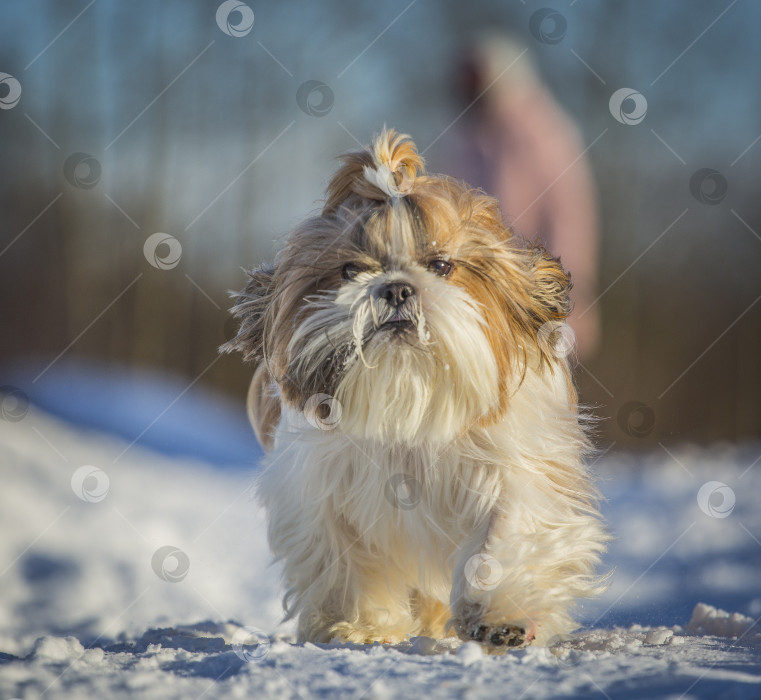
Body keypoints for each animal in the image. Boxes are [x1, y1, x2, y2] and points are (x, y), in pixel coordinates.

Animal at [221, 129, 604, 648]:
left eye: (441, 265)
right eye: (350, 270)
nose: (397, 288)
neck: (409, 404)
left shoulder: (520, 466)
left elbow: (506, 532)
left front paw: (501, 617)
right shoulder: (320, 493)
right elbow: (344, 559)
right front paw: (358, 625)